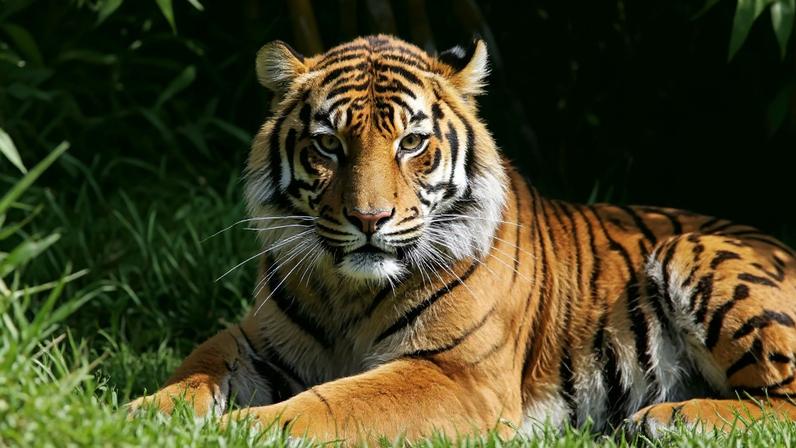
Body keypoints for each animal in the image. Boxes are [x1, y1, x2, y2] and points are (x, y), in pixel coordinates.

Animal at [129, 34, 796, 443]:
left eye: (412, 143)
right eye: (328, 144)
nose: (369, 219)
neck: (347, 293)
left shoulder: (453, 373)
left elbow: (327, 405)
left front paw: (235, 431)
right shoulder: (256, 339)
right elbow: (193, 372)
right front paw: (134, 415)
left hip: (690, 250)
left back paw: (667, 417)